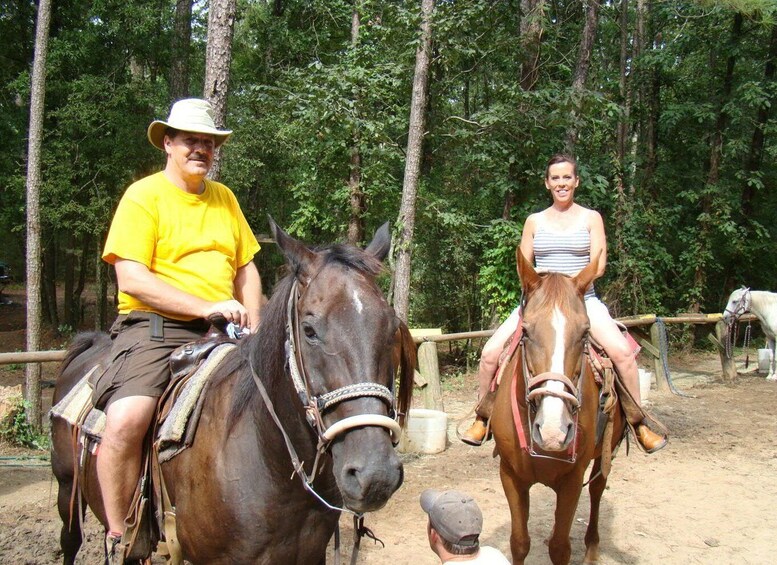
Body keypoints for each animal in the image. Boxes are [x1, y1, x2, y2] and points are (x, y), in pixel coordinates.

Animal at [494, 251, 628, 564]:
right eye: (526, 332)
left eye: (584, 333)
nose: (553, 432)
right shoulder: (510, 475)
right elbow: (519, 542)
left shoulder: (572, 480)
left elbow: (560, 547)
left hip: (606, 453)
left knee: (597, 489)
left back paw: (592, 549)